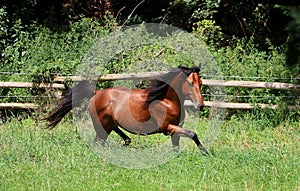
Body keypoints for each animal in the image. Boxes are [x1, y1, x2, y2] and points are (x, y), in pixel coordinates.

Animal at [44, 66, 209, 154]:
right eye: (190, 83)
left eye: (200, 82)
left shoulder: (176, 128)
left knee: (118, 136)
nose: (200, 105)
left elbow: (177, 145)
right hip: (102, 126)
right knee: (98, 142)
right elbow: (192, 133)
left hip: (109, 124)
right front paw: (205, 152)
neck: (166, 101)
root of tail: (97, 93)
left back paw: (125, 143)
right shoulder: (166, 127)